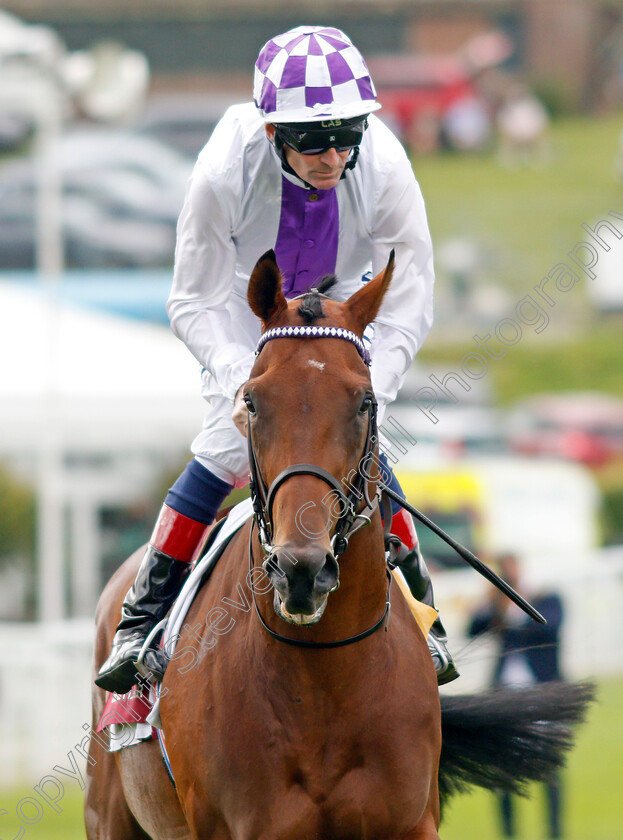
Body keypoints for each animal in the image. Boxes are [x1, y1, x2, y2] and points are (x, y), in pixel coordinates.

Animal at [85, 253, 592, 840]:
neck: (324, 678)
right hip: (110, 813)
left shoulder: (411, 822)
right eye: (252, 400)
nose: (300, 571)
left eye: (364, 401)